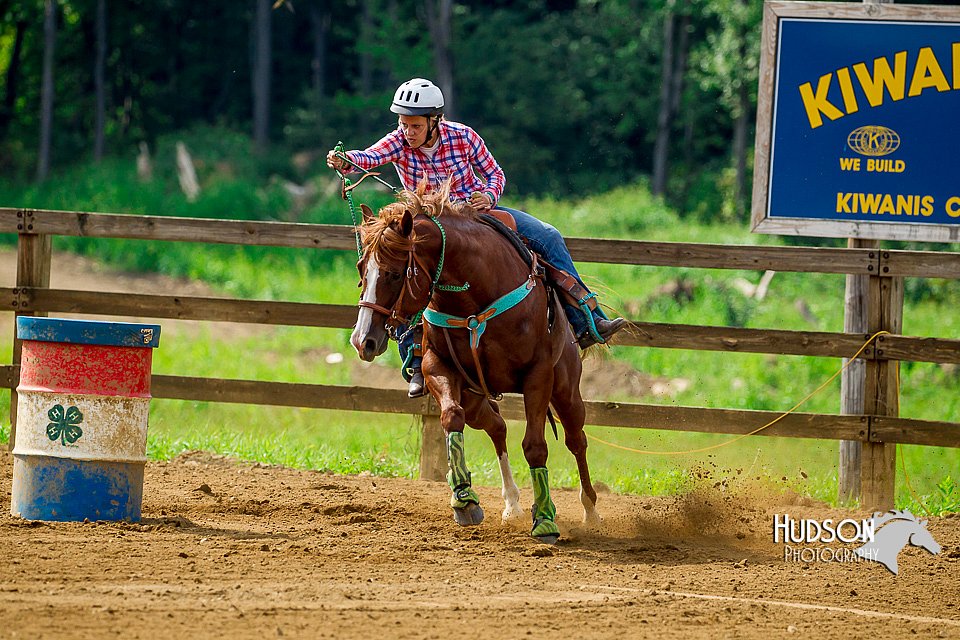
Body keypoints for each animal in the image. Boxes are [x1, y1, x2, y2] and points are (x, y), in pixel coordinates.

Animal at [344, 182, 600, 544]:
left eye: (394, 274)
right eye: (360, 269)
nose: (362, 340)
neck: (474, 293)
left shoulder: (537, 374)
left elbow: (535, 446)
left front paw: (545, 521)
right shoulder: (437, 367)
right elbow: (452, 419)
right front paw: (464, 499)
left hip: (565, 389)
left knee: (576, 439)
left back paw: (590, 511)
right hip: (476, 397)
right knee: (497, 427)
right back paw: (511, 505)